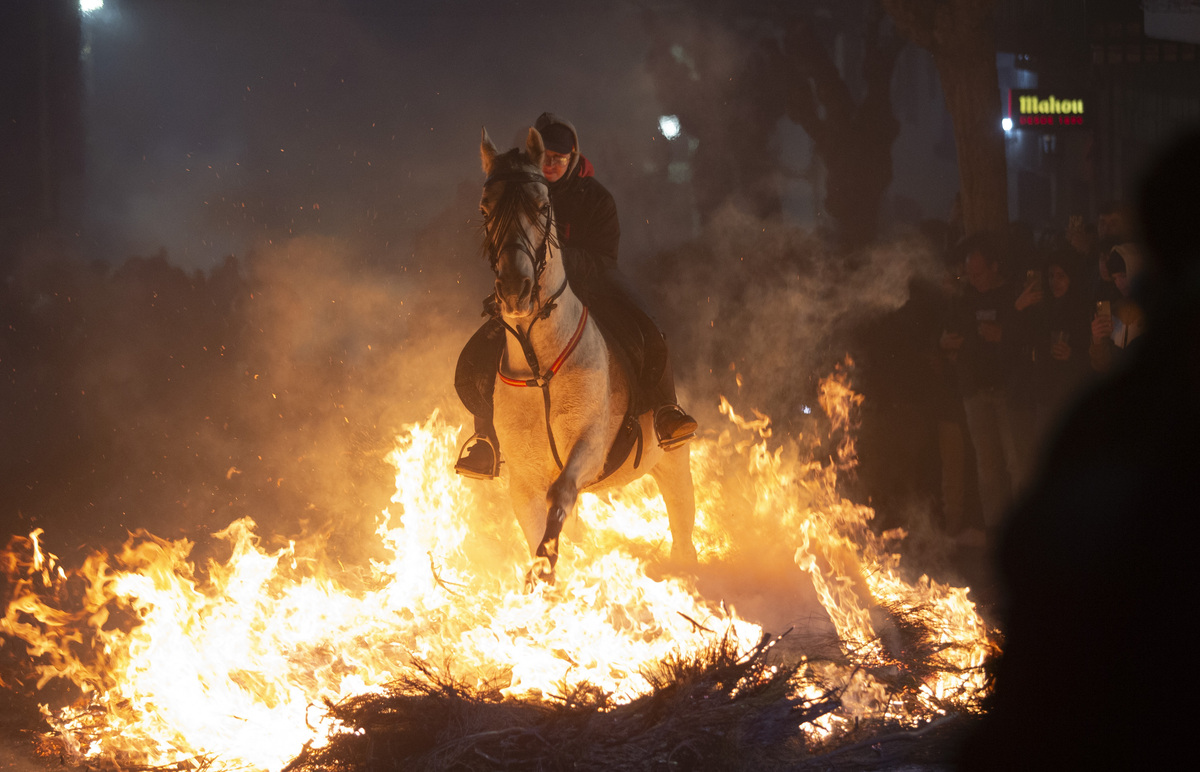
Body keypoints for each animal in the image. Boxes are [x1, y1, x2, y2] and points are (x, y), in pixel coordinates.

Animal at [477, 128, 700, 585]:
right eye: (485, 208)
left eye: (543, 207)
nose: (515, 289)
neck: (539, 367)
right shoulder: (523, 481)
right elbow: (537, 524)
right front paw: (542, 573)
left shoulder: (590, 448)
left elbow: (561, 494)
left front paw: (546, 563)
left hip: (673, 466)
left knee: (683, 531)